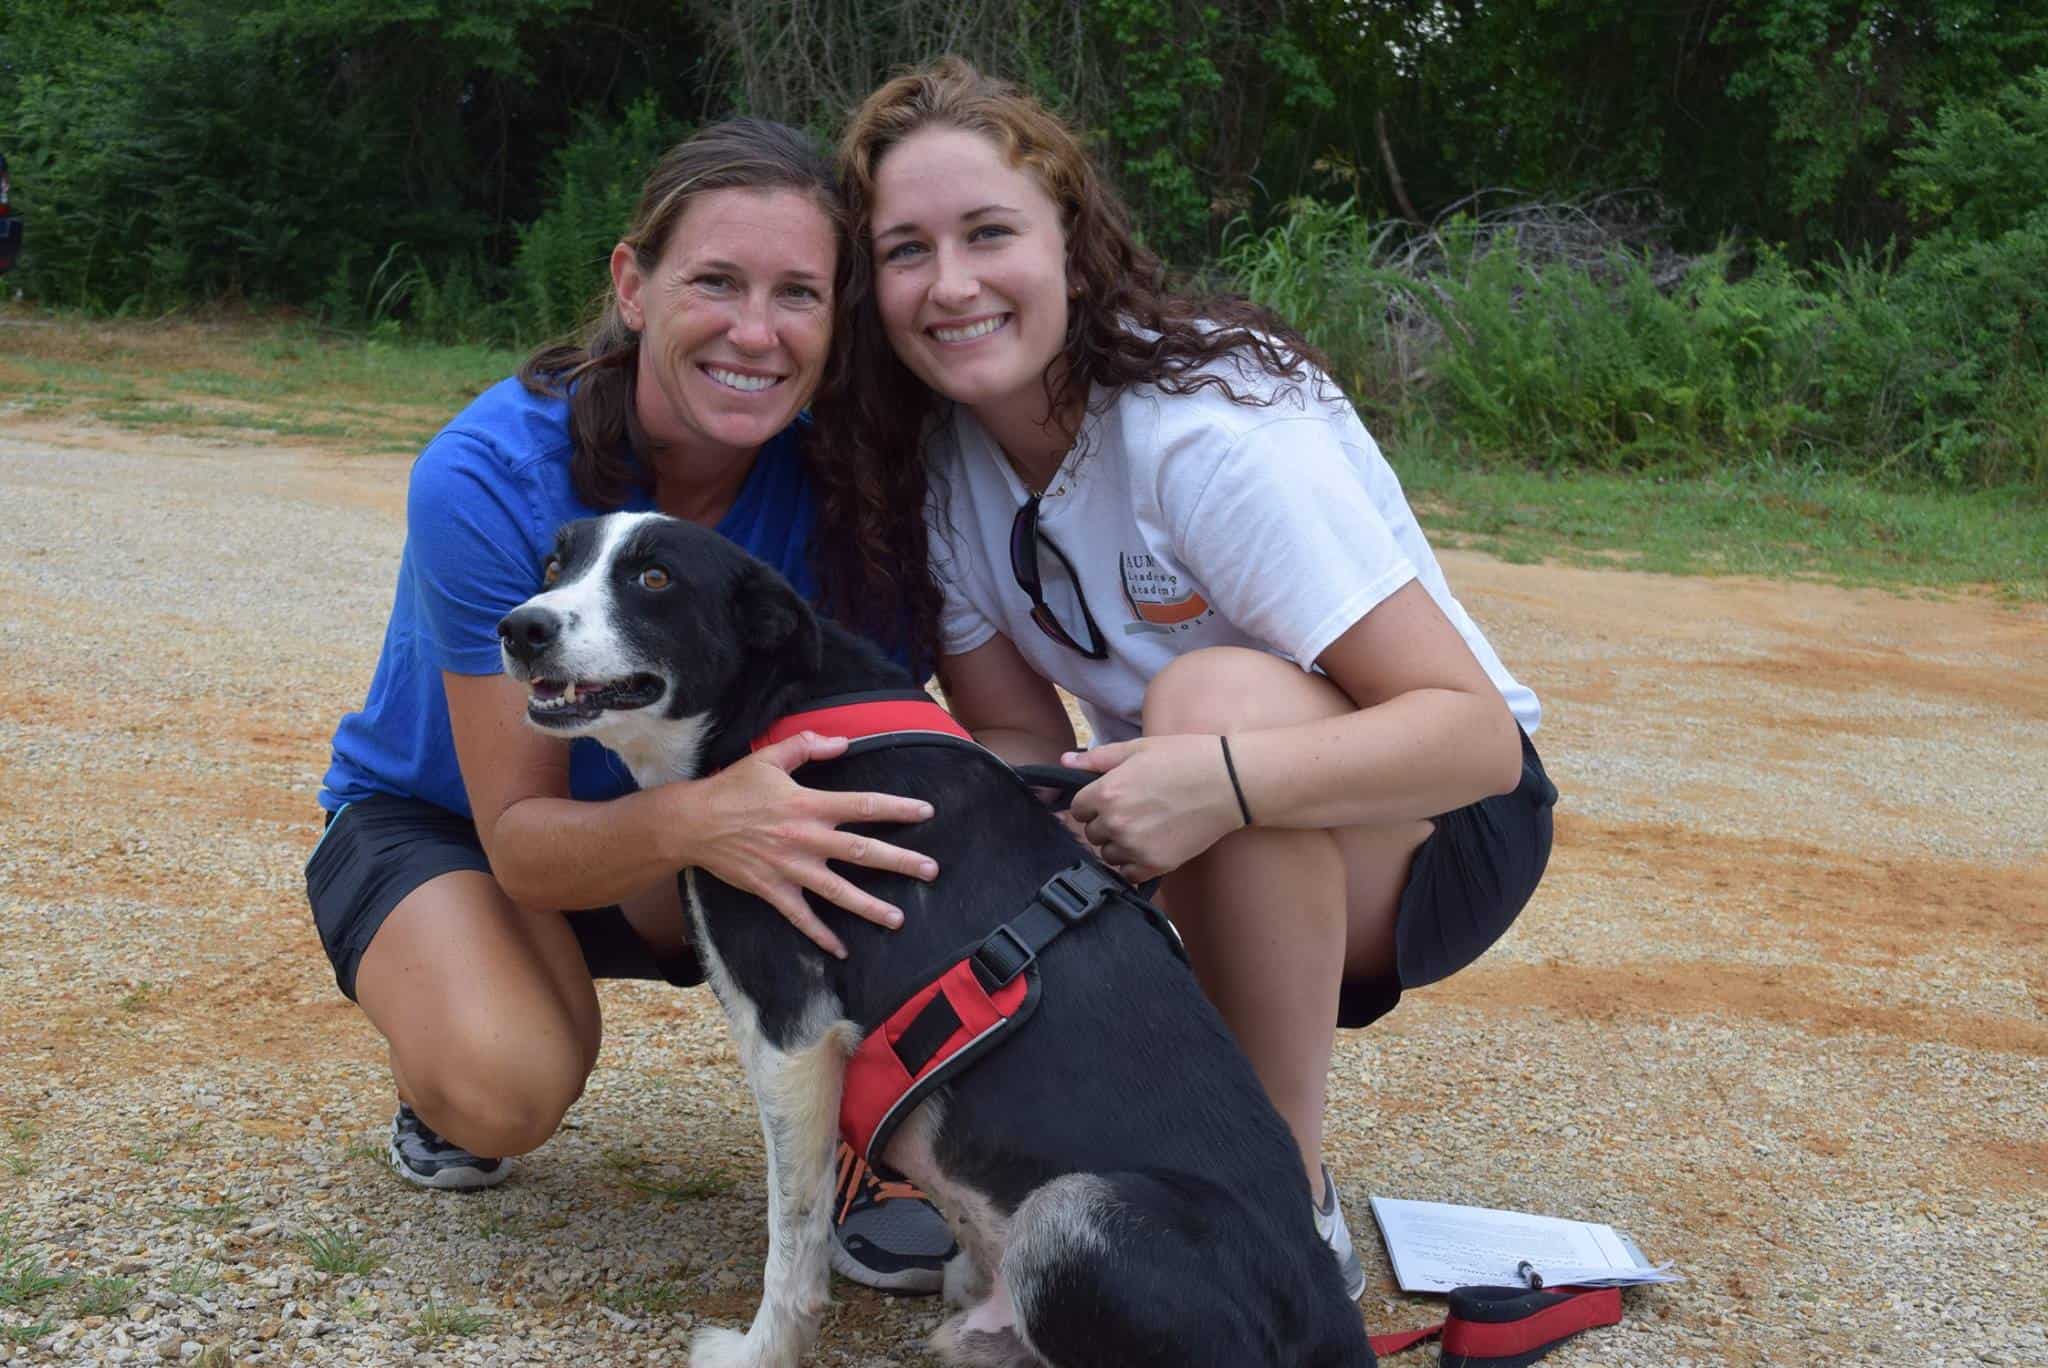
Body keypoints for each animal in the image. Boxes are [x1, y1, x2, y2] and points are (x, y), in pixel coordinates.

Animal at [491, 511, 1376, 1368]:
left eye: (653, 577)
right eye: (555, 566)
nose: (520, 627)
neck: (782, 706)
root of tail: (1333, 1320)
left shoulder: (792, 1034)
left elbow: (793, 1241)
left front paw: (757, 1353)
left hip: (1075, 1210)